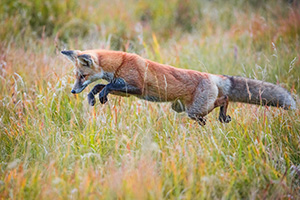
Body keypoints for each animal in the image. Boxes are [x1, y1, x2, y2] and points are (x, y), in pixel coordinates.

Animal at [60, 49, 296, 125]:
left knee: (224, 99)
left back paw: (222, 117)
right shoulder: (127, 91)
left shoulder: (136, 87)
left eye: (82, 76)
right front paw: (93, 96)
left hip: (194, 109)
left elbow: (106, 85)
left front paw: (99, 95)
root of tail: (212, 76)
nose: (73, 91)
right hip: (182, 109)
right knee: (208, 113)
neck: (120, 63)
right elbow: (101, 85)